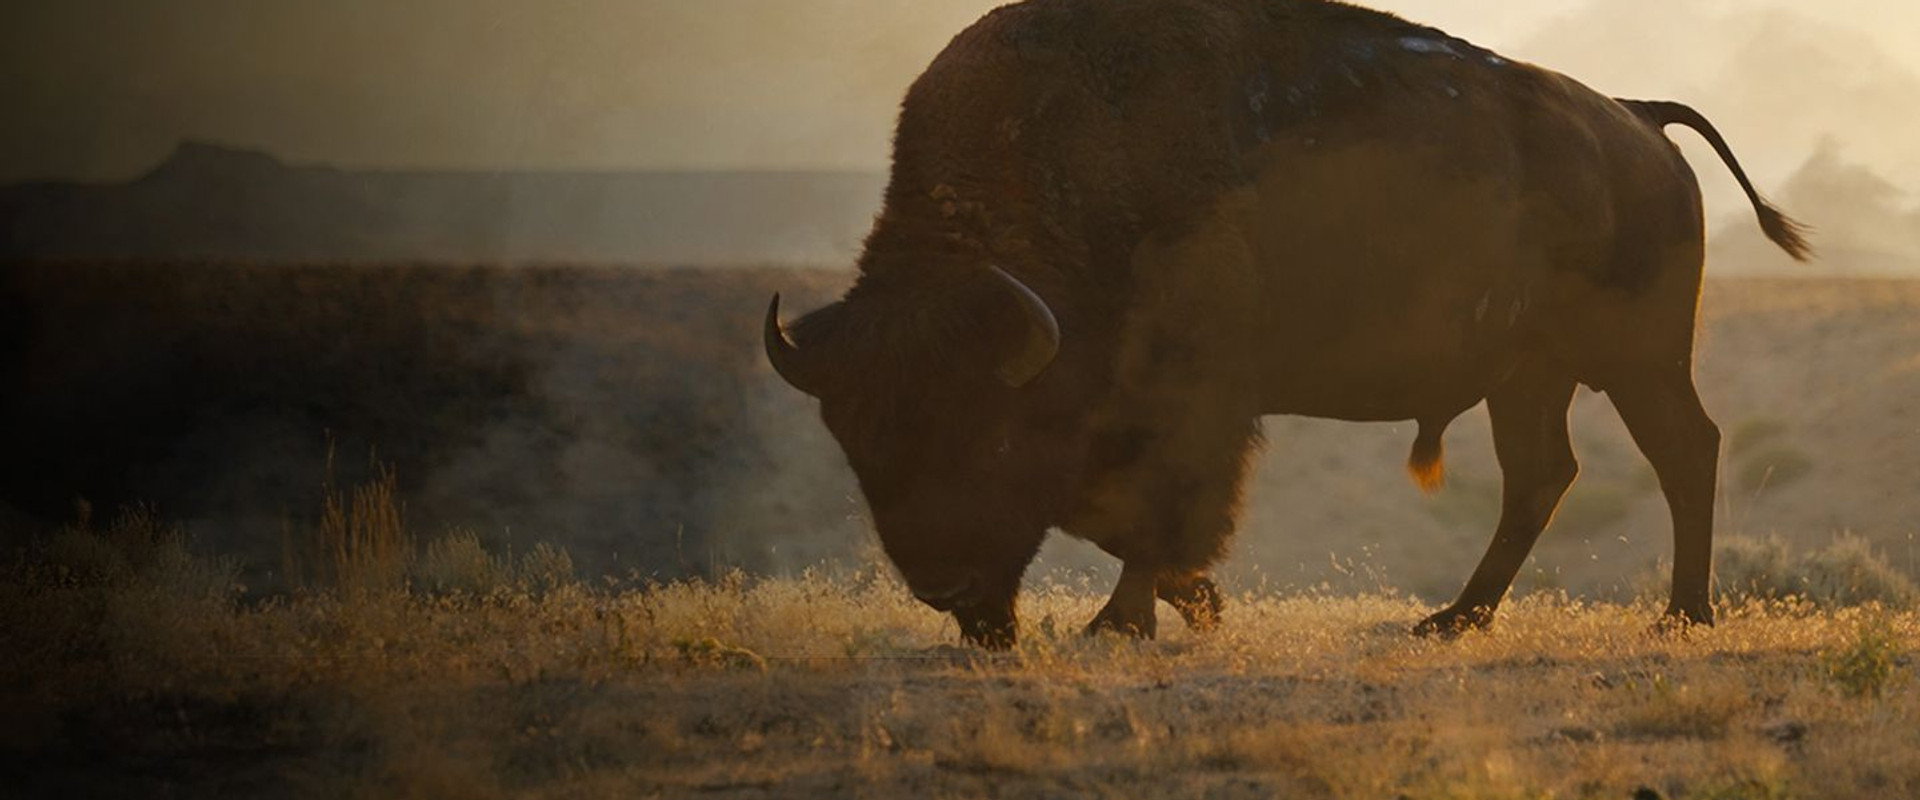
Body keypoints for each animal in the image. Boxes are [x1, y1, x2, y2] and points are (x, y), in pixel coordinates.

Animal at [764, 0, 1810, 648]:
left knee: (1683, 451)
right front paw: (1194, 603)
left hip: (1640, 361)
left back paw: (1682, 617)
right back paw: (1454, 619)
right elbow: (1122, 518)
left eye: (989, 436)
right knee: (1542, 476)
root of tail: (1637, 118)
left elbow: (1159, 509)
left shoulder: (1192, 402)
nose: (946, 590)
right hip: (1529, 376)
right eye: (856, 442)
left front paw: (1125, 622)